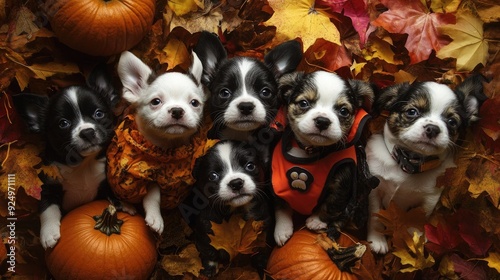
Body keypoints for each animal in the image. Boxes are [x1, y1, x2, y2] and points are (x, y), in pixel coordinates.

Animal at [13, 66, 122, 249]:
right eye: (63, 123)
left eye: (99, 114)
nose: (87, 131)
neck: (83, 164)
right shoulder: (48, 186)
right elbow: (47, 208)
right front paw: (48, 234)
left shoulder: (105, 179)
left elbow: (112, 191)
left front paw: (127, 205)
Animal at [107, 49, 217, 234]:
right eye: (156, 102)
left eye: (194, 103)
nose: (177, 110)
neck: (167, 147)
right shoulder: (148, 175)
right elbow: (153, 194)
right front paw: (155, 218)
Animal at [189, 141, 272, 276]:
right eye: (213, 176)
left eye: (250, 166)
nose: (236, 183)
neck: (236, 212)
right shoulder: (205, 228)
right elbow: (209, 251)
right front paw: (209, 269)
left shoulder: (263, 225)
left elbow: (261, 250)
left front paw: (261, 268)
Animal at [270, 71, 376, 246]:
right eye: (304, 103)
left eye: (344, 111)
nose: (322, 121)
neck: (310, 151)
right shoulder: (277, 181)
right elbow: (281, 205)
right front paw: (282, 229)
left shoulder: (342, 183)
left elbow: (332, 204)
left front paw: (317, 220)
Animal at [366, 74, 486, 254]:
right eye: (412, 112)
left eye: (452, 121)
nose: (433, 128)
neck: (409, 164)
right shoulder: (375, 189)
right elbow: (375, 215)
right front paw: (377, 239)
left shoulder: (429, 198)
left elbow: (419, 218)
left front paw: (416, 239)